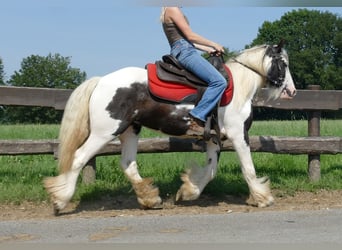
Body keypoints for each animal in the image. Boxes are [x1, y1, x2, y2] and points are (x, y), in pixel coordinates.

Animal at [44, 41, 296, 215]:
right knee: (79, 158)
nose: (291, 91)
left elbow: (211, 171)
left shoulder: (214, 139)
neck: (240, 88)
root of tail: (101, 80)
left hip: (130, 131)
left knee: (128, 164)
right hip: (104, 132)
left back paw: (150, 199)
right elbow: (248, 168)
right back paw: (60, 200)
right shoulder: (238, 135)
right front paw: (263, 198)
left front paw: (188, 191)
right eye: (283, 63)